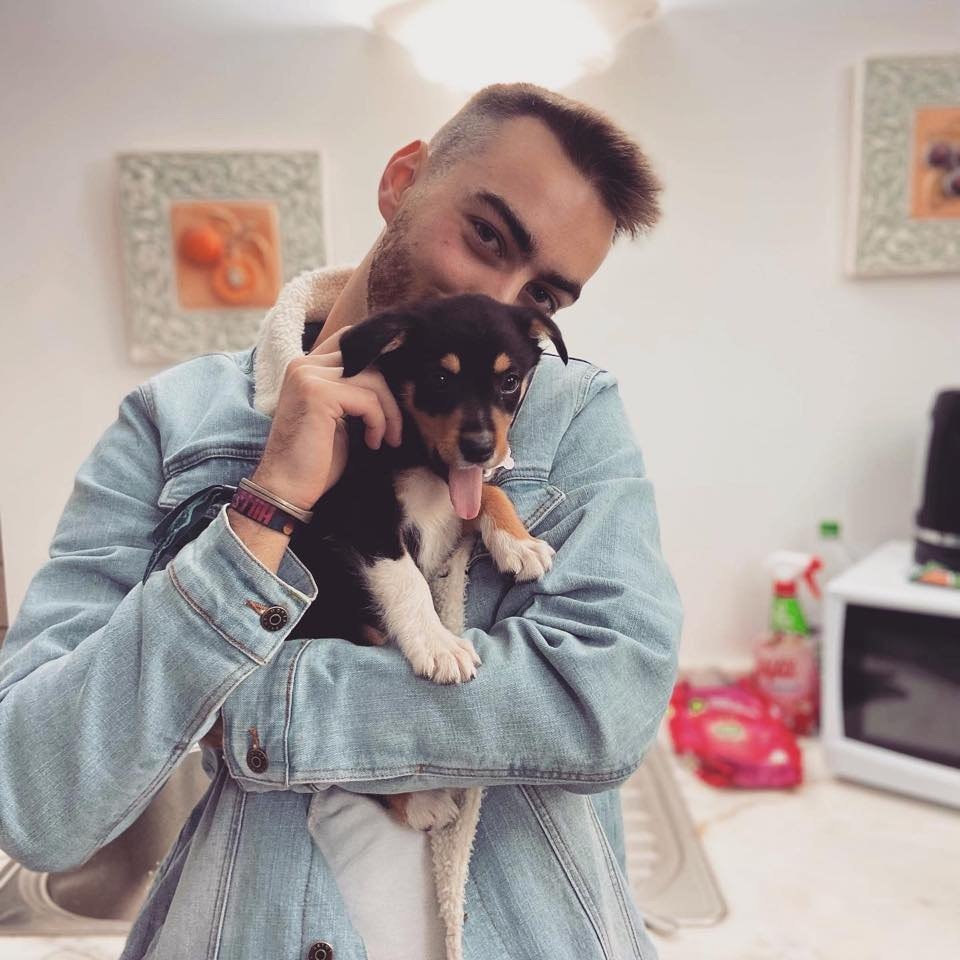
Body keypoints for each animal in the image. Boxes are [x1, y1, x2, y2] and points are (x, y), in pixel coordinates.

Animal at [285, 293, 567, 829]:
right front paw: (438, 645)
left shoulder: (461, 497)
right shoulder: (364, 518)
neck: (426, 466)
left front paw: (519, 544)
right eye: (439, 378)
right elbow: (407, 579)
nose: (480, 448)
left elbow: (489, 494)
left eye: (508, 381)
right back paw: (419, 802)